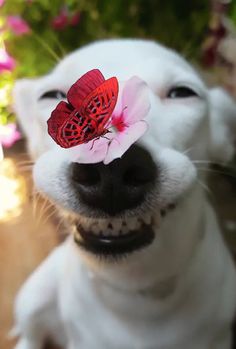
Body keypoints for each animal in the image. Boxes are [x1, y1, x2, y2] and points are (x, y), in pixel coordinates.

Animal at [13, 39, 236, 346]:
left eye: (183, 93)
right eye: (52, 96)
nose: (111, 170)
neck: (133, 289)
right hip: (33, 296)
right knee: (31, 334)